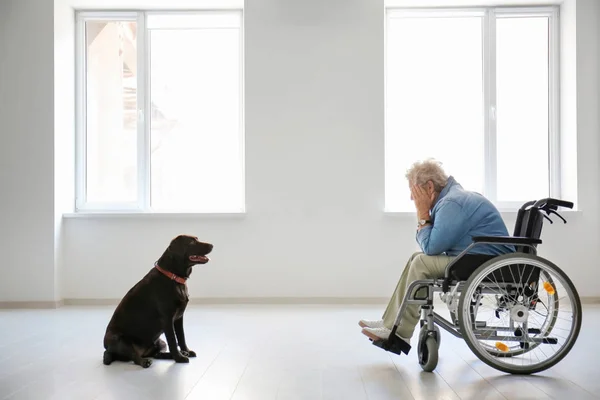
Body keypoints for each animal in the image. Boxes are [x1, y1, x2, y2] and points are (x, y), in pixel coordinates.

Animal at [102, 234, 213, 368]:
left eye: (197, 239)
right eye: (191, 242)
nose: (212, 245)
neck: (173, 276)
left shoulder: (179, 317)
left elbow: (181, 337)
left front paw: (185, 351)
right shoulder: (167, 319)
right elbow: (173, 340)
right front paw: (179, 358)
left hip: (160, 342)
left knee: (156, 354)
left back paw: (173, 354)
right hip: (119, 339)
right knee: (134, 356)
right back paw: (145, 361)